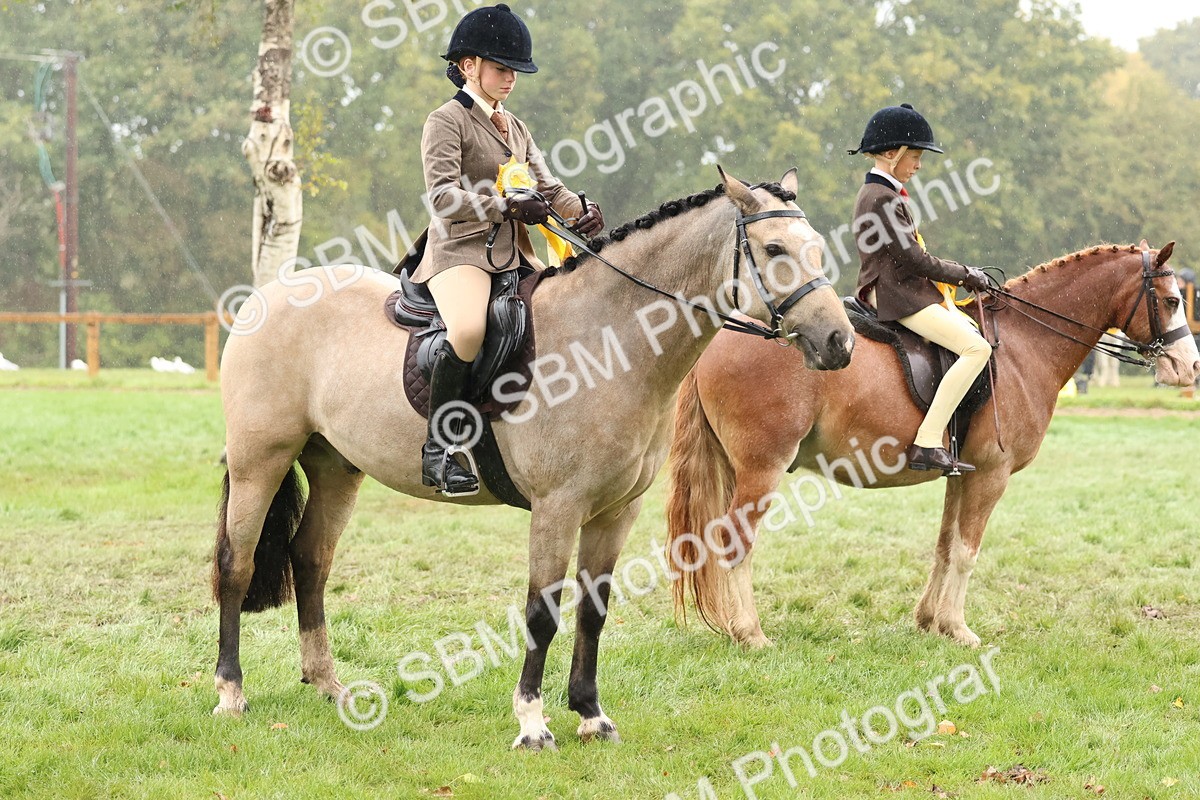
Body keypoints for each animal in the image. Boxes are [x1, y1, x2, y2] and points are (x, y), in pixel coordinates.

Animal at [210, 168, 856, 750]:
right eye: (774, 249)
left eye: (817, 248)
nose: (840, 342)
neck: (609, 339)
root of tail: (267, 296)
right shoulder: (557, 507)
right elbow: (542, 611)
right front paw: (532, 723)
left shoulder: (615, 511)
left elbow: (593, 609)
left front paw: (592, 716)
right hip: (259, 460)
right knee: (237, 564)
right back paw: (230, 693)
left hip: (336, 468)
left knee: (310, 560)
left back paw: (329, 685)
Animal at [665, 241, 1200, 648]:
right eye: (1172, 301)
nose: (1190, 368)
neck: (1024, 345)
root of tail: (724, 336)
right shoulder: (991, 476)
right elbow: (967, 552)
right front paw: (958, 629)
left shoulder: (961, 474)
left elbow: (945, 545)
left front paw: (929, 622)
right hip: (762, 468)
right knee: (736, 542)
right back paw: (750, 634)